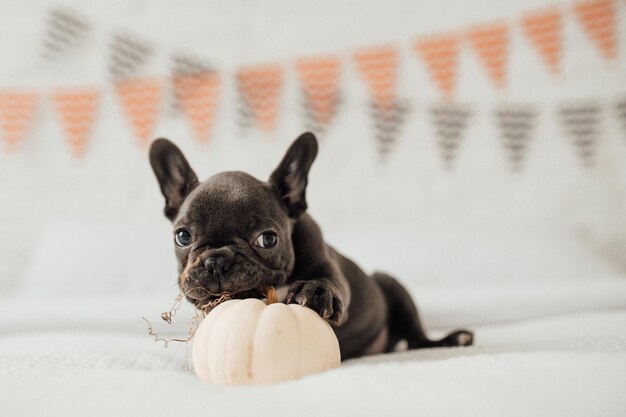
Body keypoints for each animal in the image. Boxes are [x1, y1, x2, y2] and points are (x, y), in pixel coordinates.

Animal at [149, 132, 470, 358]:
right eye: (183, 237)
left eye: (268, 239)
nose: (216, 261)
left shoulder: (327, 264)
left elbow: (330, 281)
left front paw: (316, 291)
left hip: (391, 284)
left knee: (417, 337)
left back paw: (450, 340)